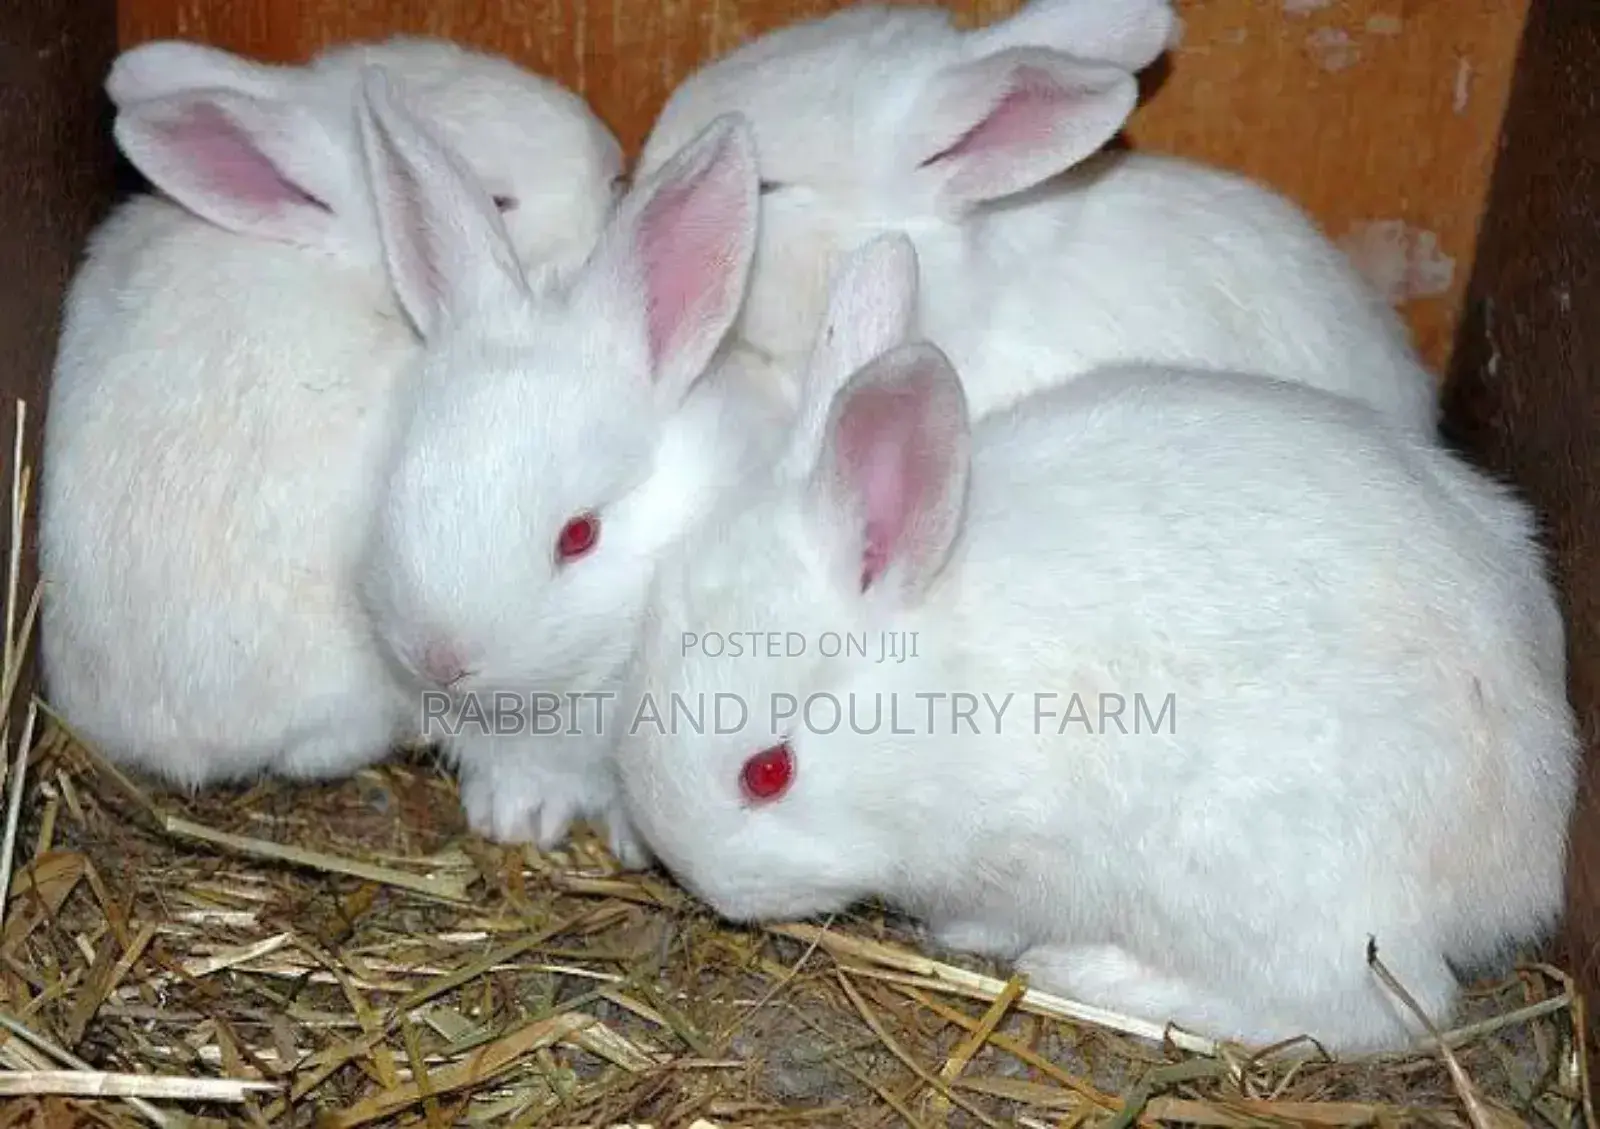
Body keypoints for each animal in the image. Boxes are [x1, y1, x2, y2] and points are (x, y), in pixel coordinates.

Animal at [609, 233, 1577, 1053]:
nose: (697, 878)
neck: (943, 696)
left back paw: (1085, 972)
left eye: (768, 772)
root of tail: (1529, 843)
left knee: (1372, 1008)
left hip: (1277, 890)